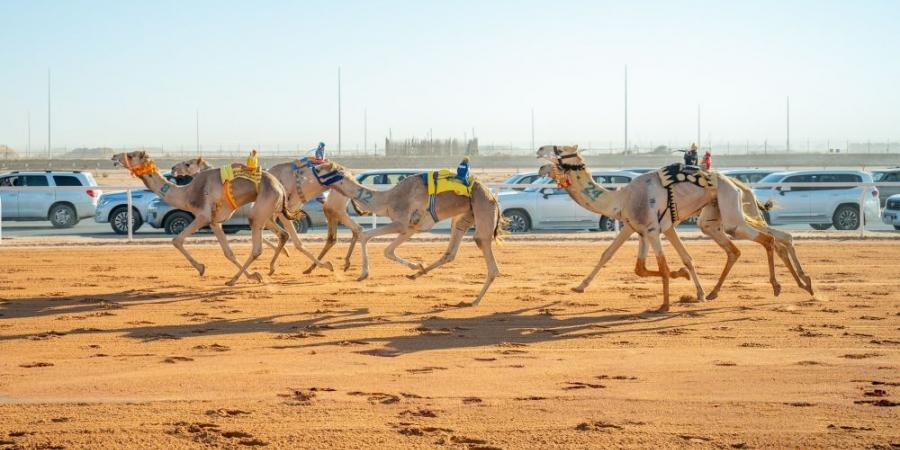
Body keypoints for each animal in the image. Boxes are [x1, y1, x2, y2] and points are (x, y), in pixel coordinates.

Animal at [112, 151, 330, 284]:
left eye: (131, 155)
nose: (114, 156)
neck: (186, 194)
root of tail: (280, 188)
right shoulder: (215, 221)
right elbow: (228, 252)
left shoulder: (202, 215)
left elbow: (177, 240)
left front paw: (201, 268)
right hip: (270, 211)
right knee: (281, 236)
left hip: (262, 209)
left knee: (261, 245)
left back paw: (236, 279)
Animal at [310, 160, 506, 304]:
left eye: (322, 168)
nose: (312, 167)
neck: (387, 199)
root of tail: (494, 198)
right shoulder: (412, 228)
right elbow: (387, 250)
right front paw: (416, 266)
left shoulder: (402, 223)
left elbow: (366, 235)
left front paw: (363, 274)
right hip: (465, 216)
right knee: (451, 251)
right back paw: (416, 275)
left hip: (482, 210)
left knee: (488, 256)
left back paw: (475, 301)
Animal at [536, 145, 816, 312]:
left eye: (559, 150)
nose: (539, 154)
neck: (621, 198)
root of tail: (736, 183)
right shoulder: (639, 228)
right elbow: (624, 261)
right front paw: (579, 287)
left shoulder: (651, 230)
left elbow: (663, 264)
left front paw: (665, 305)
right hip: (713, 218)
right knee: (763, 242)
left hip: (731, 216)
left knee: (767, 239)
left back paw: (782, 286)